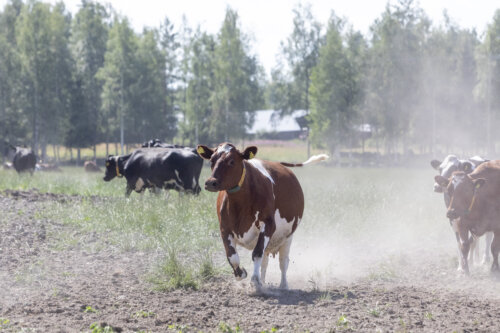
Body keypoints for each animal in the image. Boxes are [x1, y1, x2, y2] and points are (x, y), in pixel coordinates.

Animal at [197, 142, 330, 288]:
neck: (239, 204)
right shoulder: (224, 229)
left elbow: (257, 253)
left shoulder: (268, 225)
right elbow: (232, 257)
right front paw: (242, 274)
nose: (210, 182)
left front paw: (254, 280)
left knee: (283, 261)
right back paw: (264, 281)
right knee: (265, 262)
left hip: (288, 237)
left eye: (231, 161)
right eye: (212, 160)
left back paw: (283, 285)